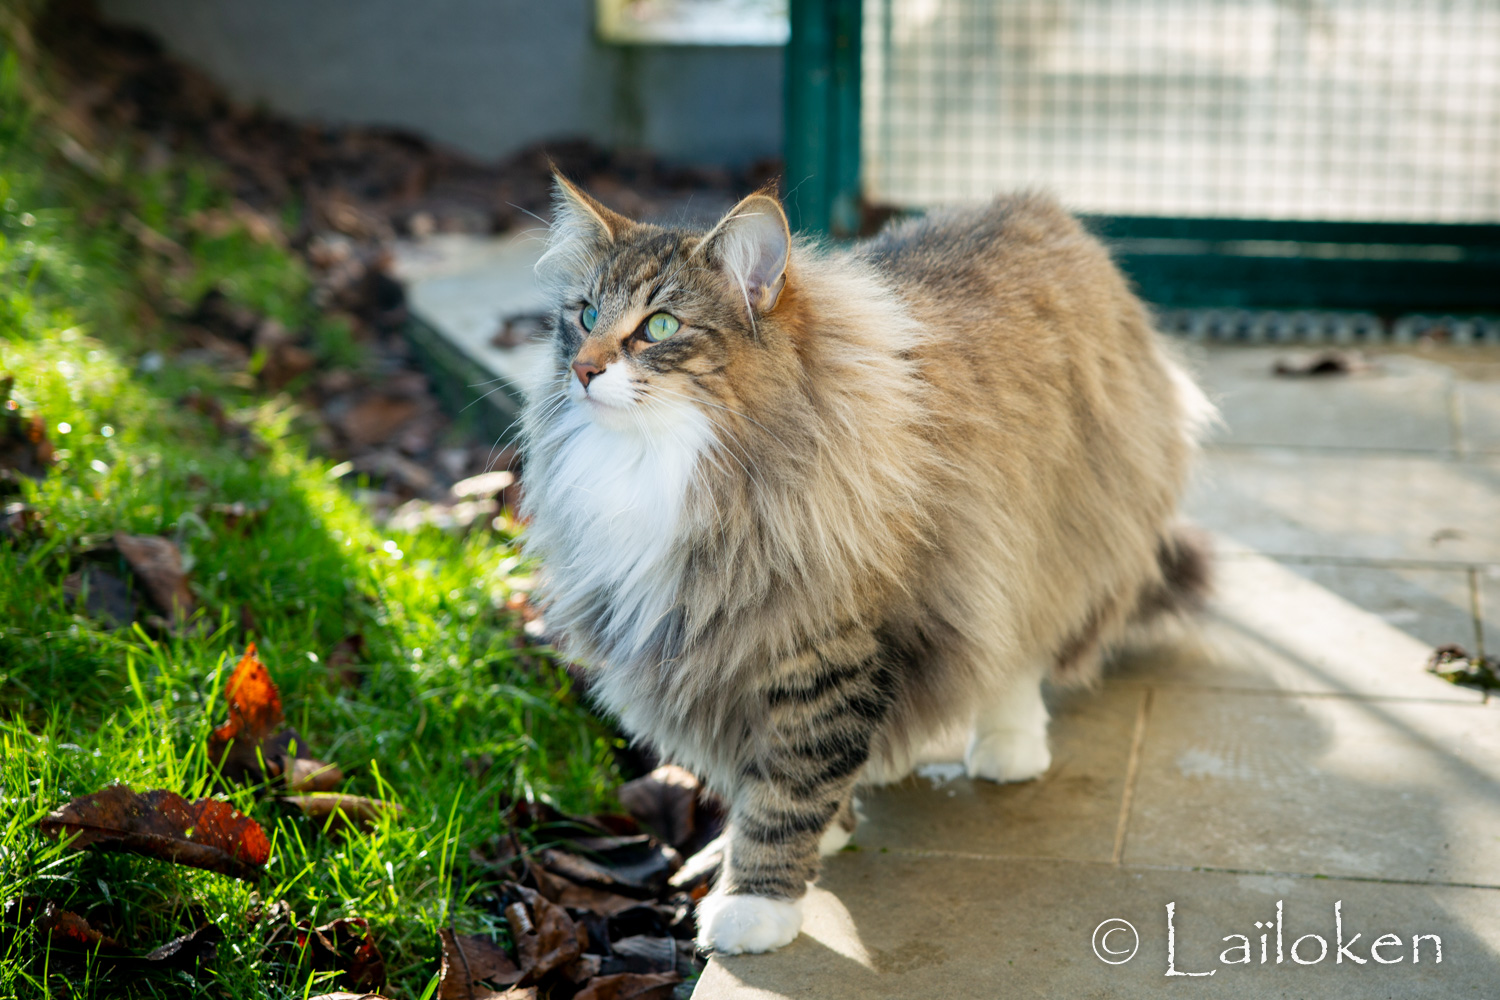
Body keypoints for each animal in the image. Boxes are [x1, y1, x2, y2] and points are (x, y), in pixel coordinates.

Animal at [518, 175, 1214, 955]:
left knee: (1017, 650)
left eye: (660, 327)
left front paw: (757, 900)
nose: (582, 369)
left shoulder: (821, 646)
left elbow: (786, 790)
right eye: (584, 315)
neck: (664, 465)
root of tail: (1037, 205)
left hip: (1046, 537)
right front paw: (817, 838)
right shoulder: (724, 647)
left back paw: (1008, 744)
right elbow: (764, 777)